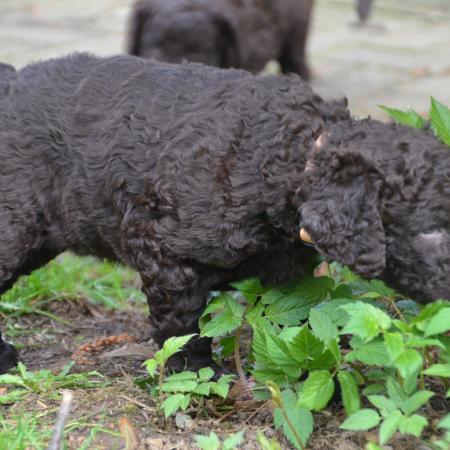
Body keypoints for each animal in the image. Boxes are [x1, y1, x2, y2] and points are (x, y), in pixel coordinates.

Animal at [0, 53, 450, 376]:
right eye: (430, 233)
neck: (291, 152)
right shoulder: (164, 249)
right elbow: (183, 325)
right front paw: (200, 370)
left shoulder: (283, 268)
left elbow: (294, 315)